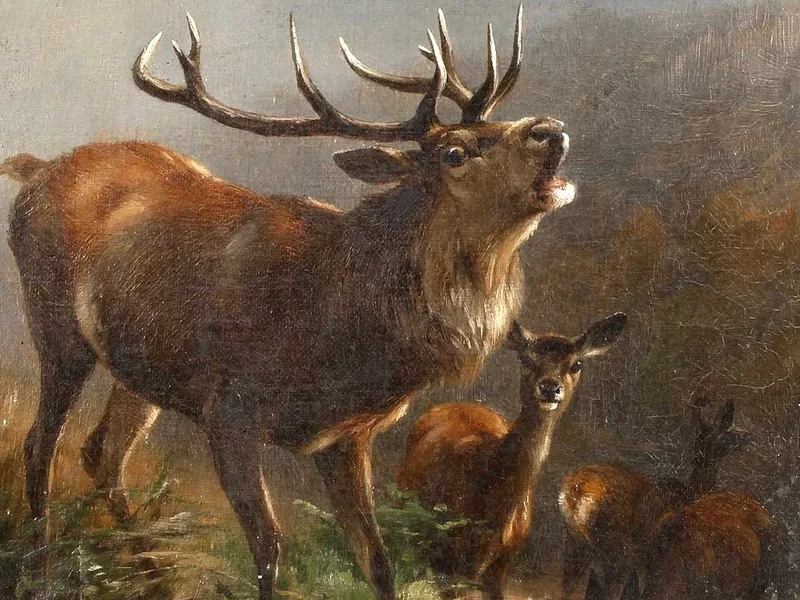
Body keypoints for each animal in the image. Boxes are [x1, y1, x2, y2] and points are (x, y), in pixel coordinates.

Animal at [1, 6, 578, 600]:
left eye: (495, 125)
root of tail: (36, 168)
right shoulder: (228, 409)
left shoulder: (345, 439)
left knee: (103, 455)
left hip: (141, 370)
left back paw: (153, 577)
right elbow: (268, 548)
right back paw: (42, 569)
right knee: (40, 446)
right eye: (454, 152)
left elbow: (378, 562)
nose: (551, 130)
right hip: (55, 324)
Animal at [559, 398, 750, 600]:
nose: (747, 435)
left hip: (576, 547)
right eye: (730, 431)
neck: (689, 494)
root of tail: (574, 491)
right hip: (616, 552)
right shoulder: (653, 559)